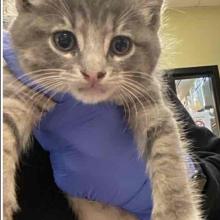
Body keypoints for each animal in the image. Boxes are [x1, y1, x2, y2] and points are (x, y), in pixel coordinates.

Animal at [3, 0, 203, 220]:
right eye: (64, 40)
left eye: (121, 45)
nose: (93, 73)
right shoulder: (18, 89)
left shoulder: (150, 99)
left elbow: (168, 151)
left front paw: (176, 211)